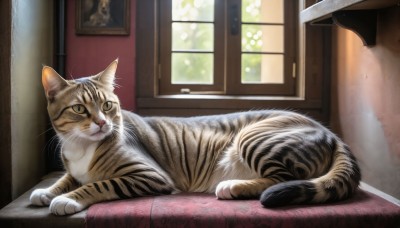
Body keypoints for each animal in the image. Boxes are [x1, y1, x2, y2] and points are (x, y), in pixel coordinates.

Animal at [29, 59, 360, 216]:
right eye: (79, 109)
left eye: (108, 105)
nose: (101, 122)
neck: (81, 148)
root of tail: (331, 133)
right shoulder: (73, 167)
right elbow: (66, 177)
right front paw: (47, 191)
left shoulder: (148, 175)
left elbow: (98, 184)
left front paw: (67, 199)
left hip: (253, 136)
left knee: (284, 178)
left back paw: (233, 186)